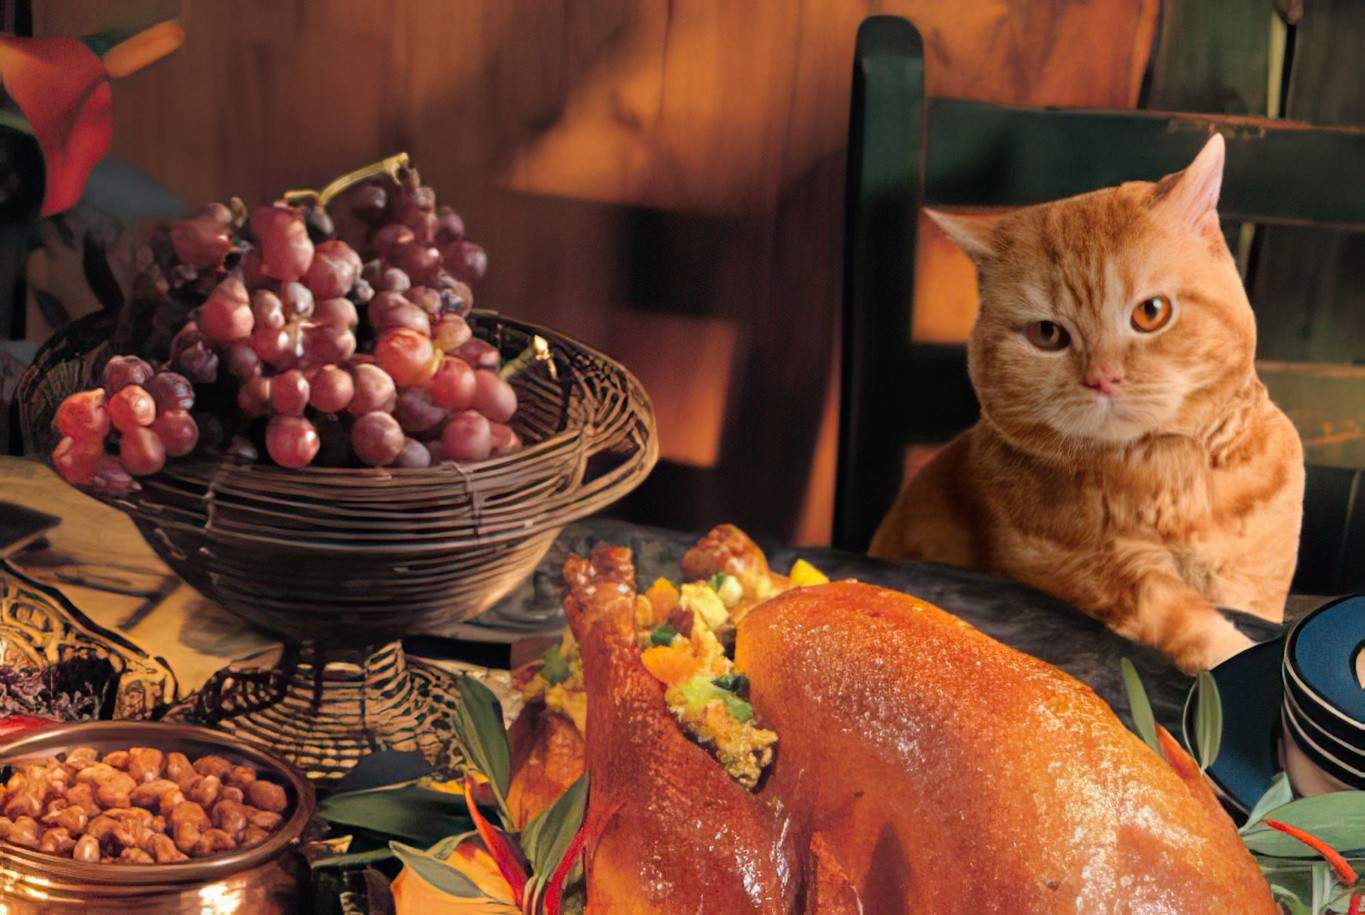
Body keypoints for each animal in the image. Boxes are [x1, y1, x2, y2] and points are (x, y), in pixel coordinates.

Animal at [868, 134, 1304, 674]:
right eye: (1047, 334)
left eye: (1151, 312)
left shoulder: (1256, 589)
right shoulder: (1081, 571)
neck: (1166, 476)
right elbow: (1179, 615)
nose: (1102, 378)